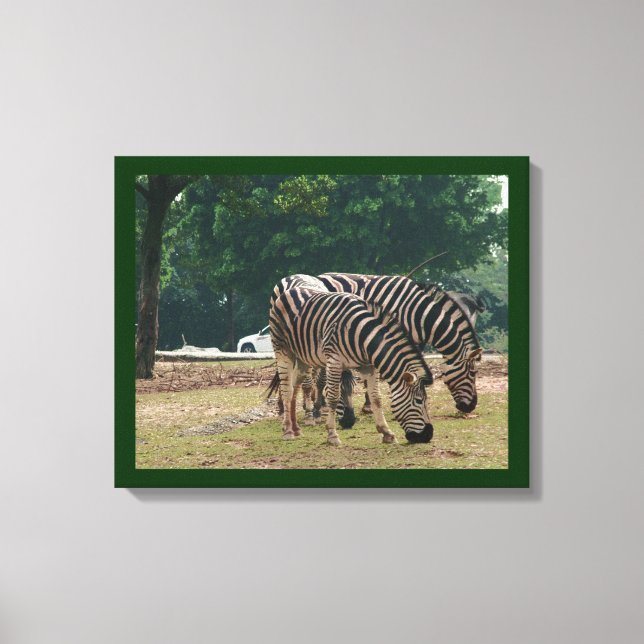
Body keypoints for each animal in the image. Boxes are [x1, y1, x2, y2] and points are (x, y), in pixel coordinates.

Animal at [269, 286, 434, 445]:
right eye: (419, 401)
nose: (427, 436)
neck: (364, 336)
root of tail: (290, 290)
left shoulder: (370, 367)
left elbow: (376, 398)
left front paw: (387, 433)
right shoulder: (334, 361)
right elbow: (333, 397)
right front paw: (332, 435)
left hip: (302, 357)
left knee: (295, 387)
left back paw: (296, 429)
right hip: (282, 350)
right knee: (287, 390)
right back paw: (288, 431)